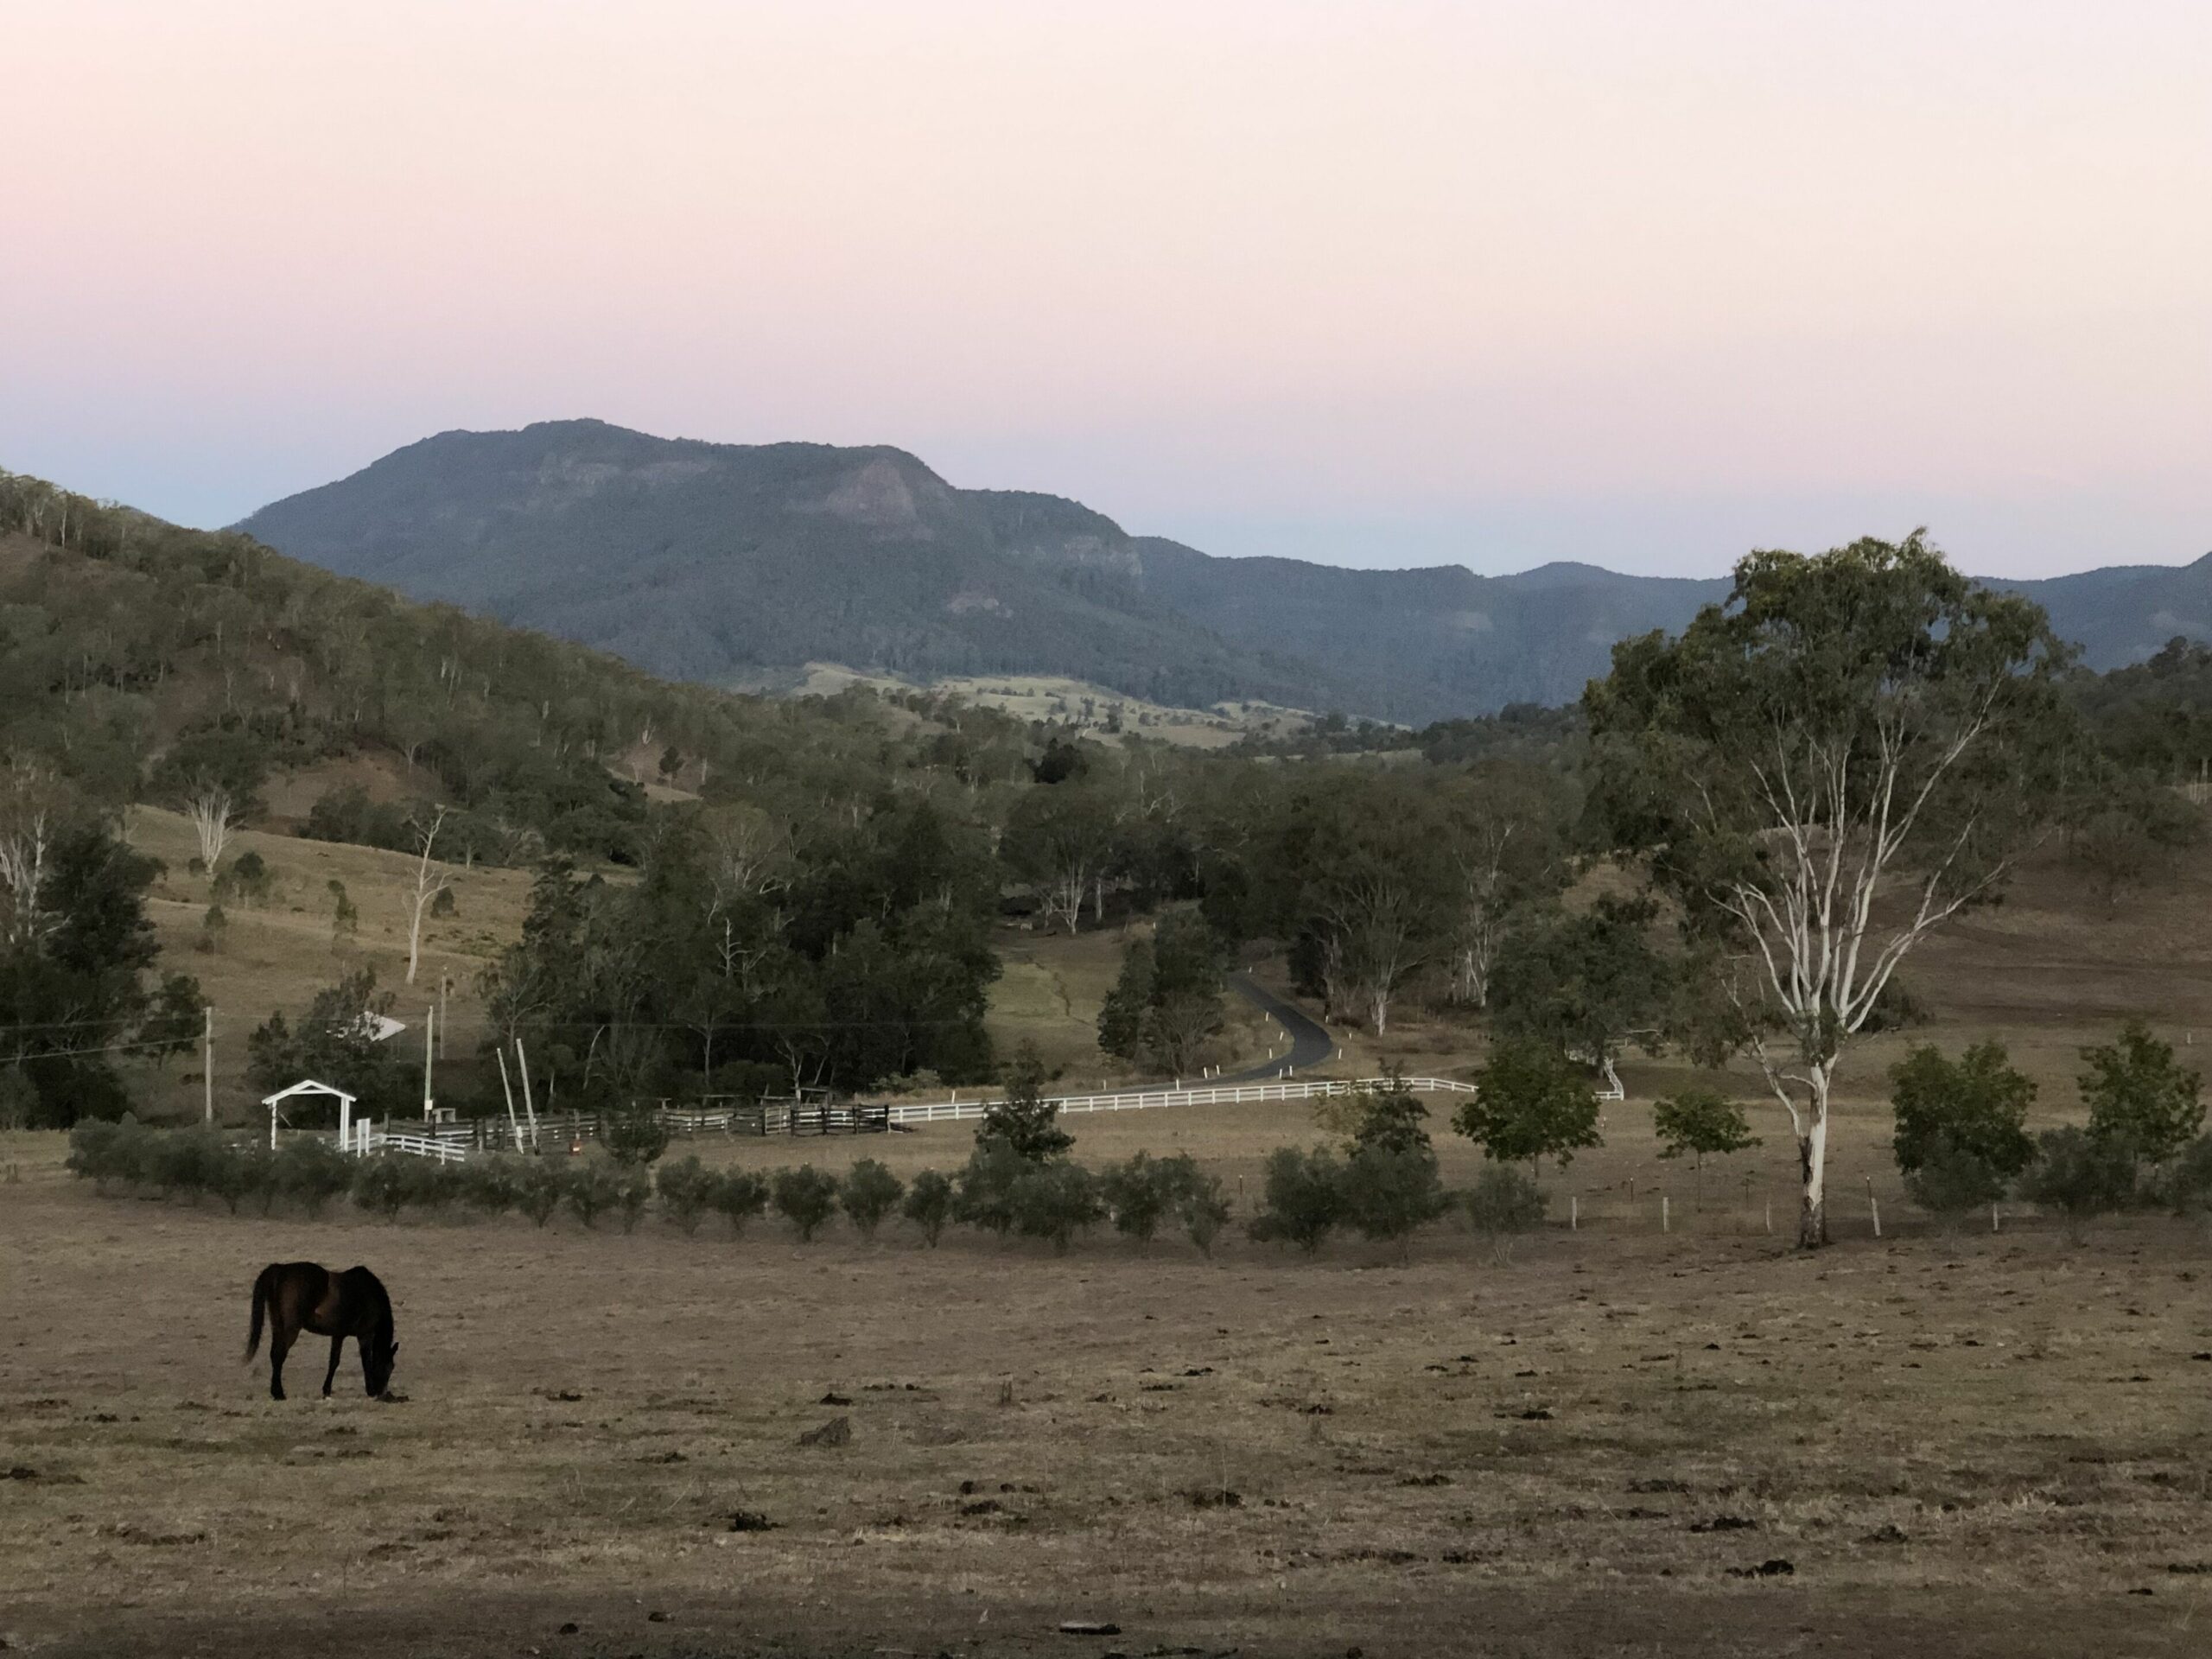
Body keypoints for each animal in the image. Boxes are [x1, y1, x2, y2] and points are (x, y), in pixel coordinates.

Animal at [250, 1274, 402, 1407]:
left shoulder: (338, 1335)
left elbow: (334, 1361)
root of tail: (278, 1272)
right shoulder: (365, 1334)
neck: (371, 1295)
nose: (383, 1394)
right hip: (290, 1330)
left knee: (274, 1354)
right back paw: (279, 1394)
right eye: (389, 1367)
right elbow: (366, 1361)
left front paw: (326, 1391)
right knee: (278, 1355)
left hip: (278, 1327)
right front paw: (370, 1390)